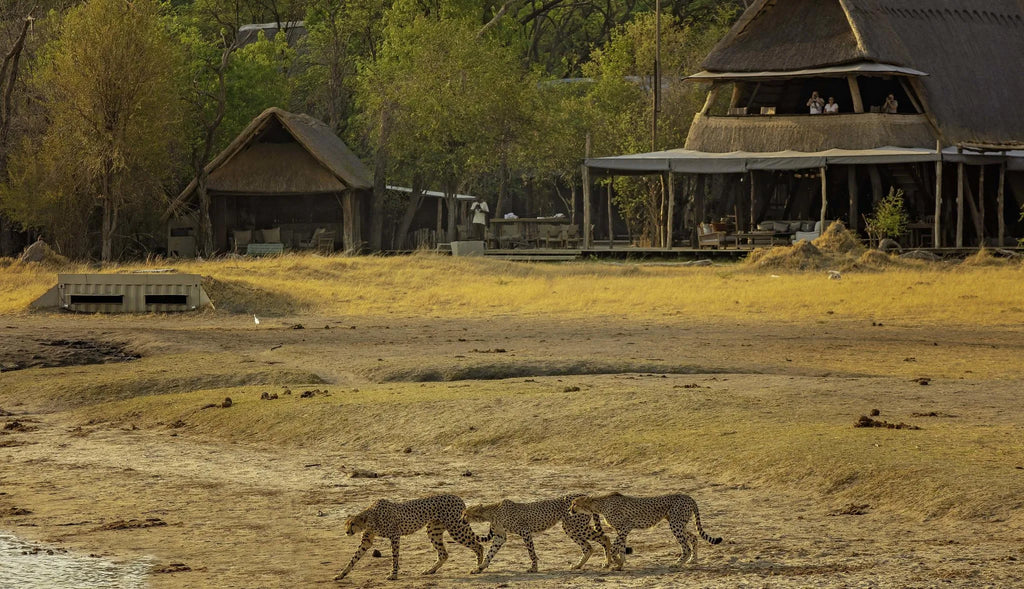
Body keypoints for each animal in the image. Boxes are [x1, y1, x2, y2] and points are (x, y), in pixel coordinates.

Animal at [334, 494, 484, 581]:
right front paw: (341, 574)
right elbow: (354, 558)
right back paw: (430, 570)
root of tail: (457, 496)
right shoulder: (367, 541)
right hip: (433, 530)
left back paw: (479, 568)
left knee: (479, 545)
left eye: (352, 524)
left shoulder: (395, 536)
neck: (370, 518)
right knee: (443, 554)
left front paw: (393, 574)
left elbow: (395, 557)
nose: (347, 532)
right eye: (346, 524)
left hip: (456, 529)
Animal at [463, 494, 614, 573]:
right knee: (588, 547)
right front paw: (480, 568)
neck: (491, 513)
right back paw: (577, 566)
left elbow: (531, 552)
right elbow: (490, 553)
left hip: (577, 526)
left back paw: (607, 563)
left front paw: (534, 567)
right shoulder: (500, 537)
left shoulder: (525, 531)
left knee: (605, 538)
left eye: (465, 513)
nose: (461, 519)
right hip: (570, 527)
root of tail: (584, 495)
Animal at [569, 492, 722, 570]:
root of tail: (688, 496)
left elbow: (614, 548)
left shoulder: (626, 526)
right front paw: (620, 564)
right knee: (694, 537)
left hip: (676, 524)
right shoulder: (622, 530)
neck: (599, 505)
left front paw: (615, 562)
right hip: (679, 523)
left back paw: (678, 563)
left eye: (574, 503)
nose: (570, 510)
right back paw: (692, 560)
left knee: (686, 546)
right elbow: (621, 547)